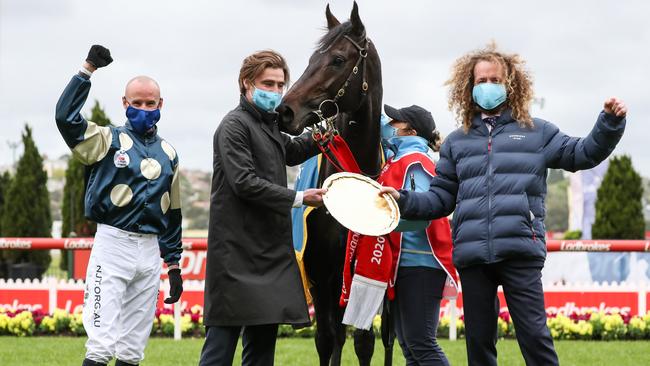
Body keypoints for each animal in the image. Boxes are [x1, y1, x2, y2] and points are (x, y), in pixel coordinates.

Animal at [276, 2, 392, 366]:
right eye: (312, 58)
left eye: (338, 60)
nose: (285, 111)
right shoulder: (322, 275)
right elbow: (329, 340)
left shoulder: (363, 273)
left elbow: (364, 341)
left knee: (389, 338)